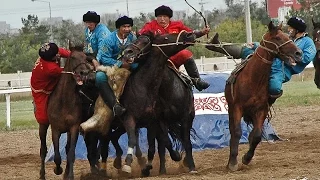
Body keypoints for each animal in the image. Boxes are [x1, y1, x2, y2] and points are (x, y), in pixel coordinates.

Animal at [45, 45, 95, 179]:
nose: (84, 72)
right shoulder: (55, 129)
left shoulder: (74, 127)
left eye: (85, 57)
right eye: (72, 57)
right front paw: (58, 170)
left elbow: (71, 153)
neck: (64, 101)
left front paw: (70, 175)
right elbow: (57, 155)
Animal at [225, 21, 302, 172]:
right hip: (231, 110)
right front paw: (233, 163)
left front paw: (247, 158)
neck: (253, 79)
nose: (298, 52)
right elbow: (237, 132)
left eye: (287, 35)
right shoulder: (237, 108)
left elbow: (256, 135)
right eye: (278, 37)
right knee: (233, 131)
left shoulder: (261, 110)